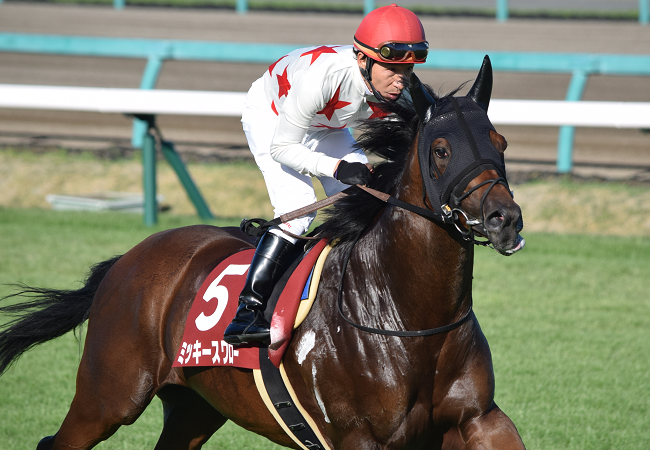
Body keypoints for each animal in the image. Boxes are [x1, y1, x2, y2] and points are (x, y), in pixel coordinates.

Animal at [0, 56, 526, 450]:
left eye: (500, 142)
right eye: (440, 150)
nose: (505, 219)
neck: (406, 314)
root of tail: (127, 259)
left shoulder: (479, 418)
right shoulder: (360, 437)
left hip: (194, 405)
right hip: (110, 395)